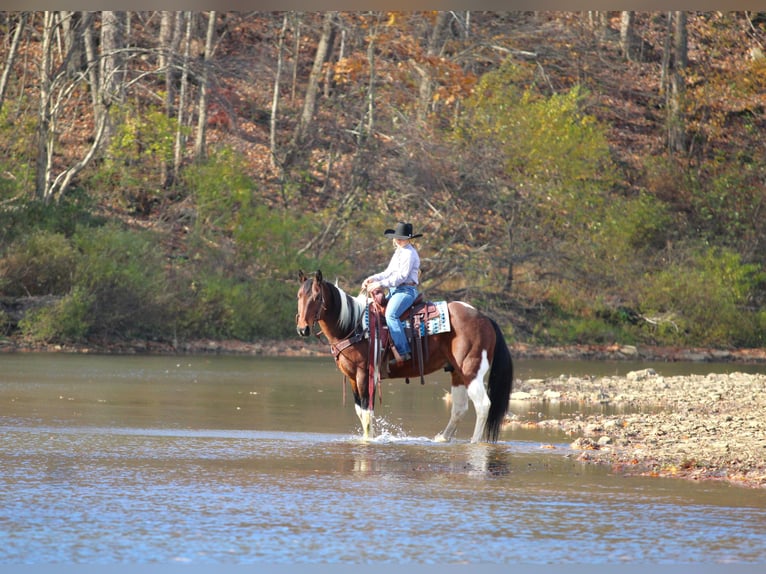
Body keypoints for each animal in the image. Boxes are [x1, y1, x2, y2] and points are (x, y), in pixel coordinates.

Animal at [296, 270, 513, 443]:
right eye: (299, 296)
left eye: (317, 297)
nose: (302, 329)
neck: (353, 325)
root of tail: (484, 318)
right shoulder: (351, 377)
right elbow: (360, 411)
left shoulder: (365, 374)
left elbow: (367, 414)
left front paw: (368, 441)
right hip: (457, 373)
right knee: (460, 408)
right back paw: (442, 438)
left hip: (472, 370)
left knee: (483, 405)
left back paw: (474, 442)